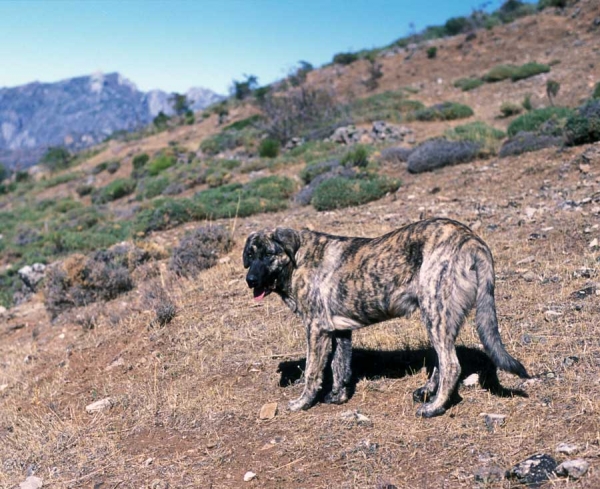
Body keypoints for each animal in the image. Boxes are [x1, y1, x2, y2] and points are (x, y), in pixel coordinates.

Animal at [241, 217, 528, 416]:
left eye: (269, 254)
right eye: (250, 255)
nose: (250, 280)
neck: (297, 259)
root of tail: (472, 239)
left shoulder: (316, 329)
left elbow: (313, 371)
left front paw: (302, 403)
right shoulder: (339, 331)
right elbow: (339, 365)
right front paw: (338, 396)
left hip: (434, 310)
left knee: (451, 364)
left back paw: (434, 407)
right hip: (442, 317)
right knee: (442, 359)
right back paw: (428, 391)